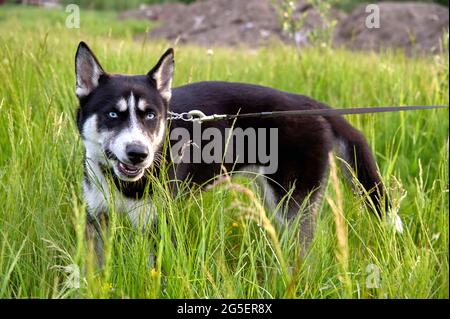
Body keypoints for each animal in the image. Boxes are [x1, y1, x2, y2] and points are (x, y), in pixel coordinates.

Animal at [75, 42, 402, 262]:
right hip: (272, 198)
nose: (138, 153)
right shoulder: (97, 220)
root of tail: (311, 104)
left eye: (151, 116)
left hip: (293, 205)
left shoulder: (158, 225)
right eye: (113, 114)